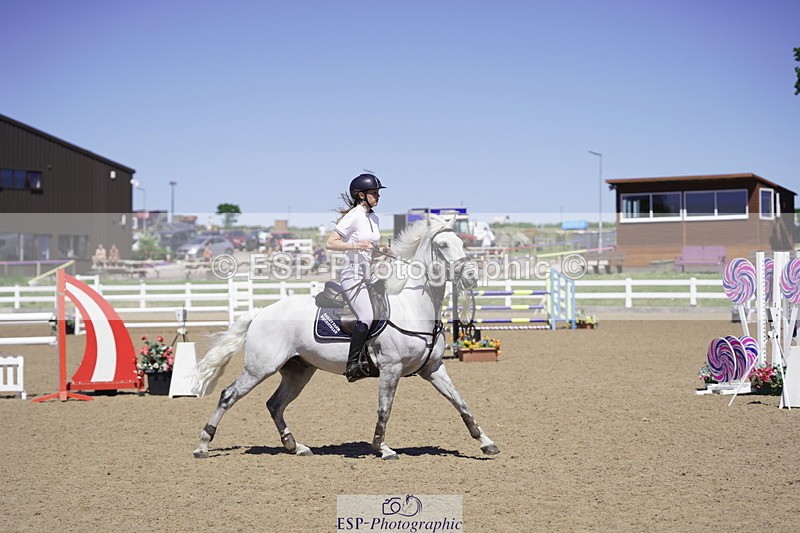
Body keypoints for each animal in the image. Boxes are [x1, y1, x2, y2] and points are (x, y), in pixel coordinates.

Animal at [191, 215, 500, 460]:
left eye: (461, 241)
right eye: (442, 245)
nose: (470, 277)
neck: (413, 307)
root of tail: (261, 312)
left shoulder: (433, 368)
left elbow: (461, 403)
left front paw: (486, 443)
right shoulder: (391, 369)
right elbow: (384, 409)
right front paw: (382, 448)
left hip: (298, 371)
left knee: (275, 404)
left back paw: (295, 446)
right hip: (260, 367)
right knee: (228, 396)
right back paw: (203, 445)